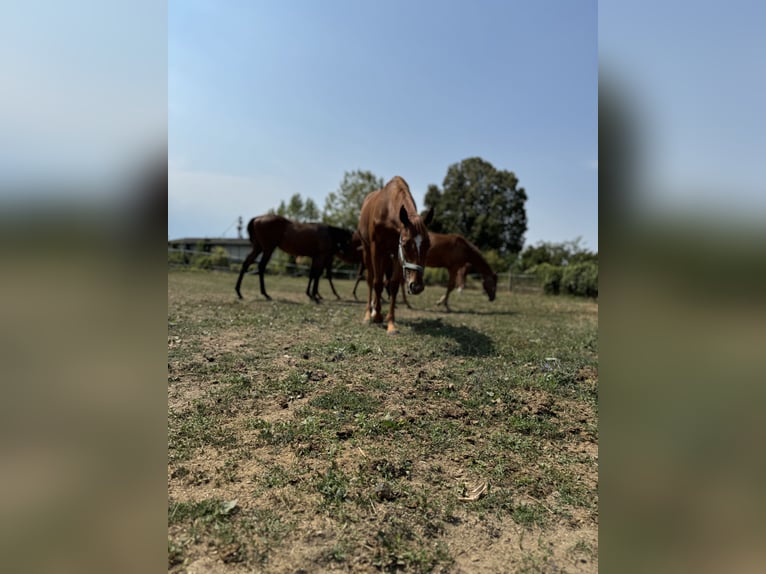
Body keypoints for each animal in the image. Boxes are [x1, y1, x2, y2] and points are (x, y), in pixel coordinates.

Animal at [358, 178, 436, 336]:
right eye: (406, 244)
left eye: (428, 245)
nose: (417, 286)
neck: (387, 210)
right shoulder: (377, 248)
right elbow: (377, 283)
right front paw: (377, 316)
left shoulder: (396, 252)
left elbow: (393, 285)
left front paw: (391, 324)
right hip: (367, 250)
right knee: (371, 280)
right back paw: (369, 314)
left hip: (386, 255)